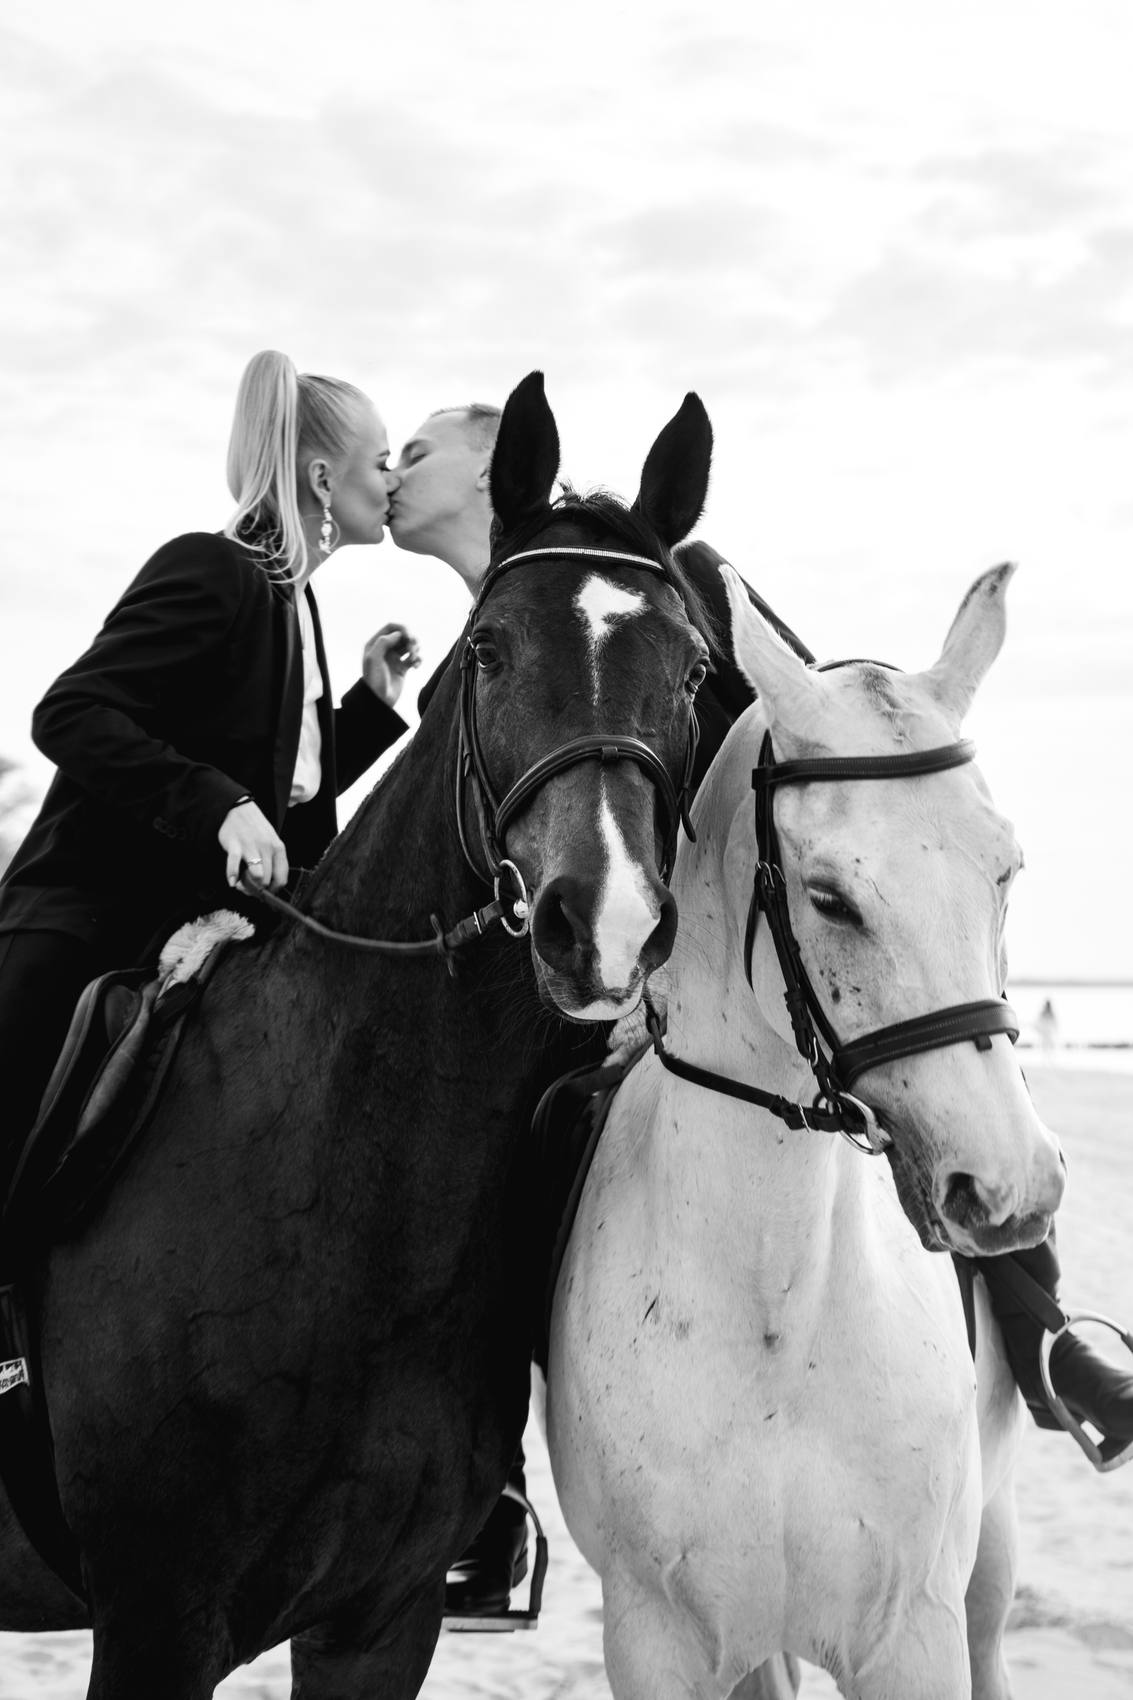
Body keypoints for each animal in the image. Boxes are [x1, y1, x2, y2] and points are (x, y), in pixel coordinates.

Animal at [0, 370, 715, 1700]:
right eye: (487, 649)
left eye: (694, 668)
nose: (602, 922)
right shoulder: (155, 1619)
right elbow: (84, 705)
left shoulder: (381, 1618)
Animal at [547, 562, 1067, 1700]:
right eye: (830, 897)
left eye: (1005, 869)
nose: (1009, 1189)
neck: (778, 1325)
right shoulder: (656, 1637)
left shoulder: (913, 1632)